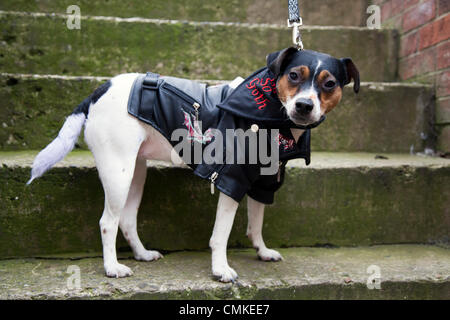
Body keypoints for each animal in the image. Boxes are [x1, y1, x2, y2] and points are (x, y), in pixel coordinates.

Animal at [27, 47, 358, 282]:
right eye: (293, 76)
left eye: (329, 84)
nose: (304, 105)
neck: (274, 118)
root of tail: (100, 90)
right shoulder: (230, 180)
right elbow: (221, 234)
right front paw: (221, 270)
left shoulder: (263, 184)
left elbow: (256, 223)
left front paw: (262, 251)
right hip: (117, 172)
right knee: (108, 222)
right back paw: (112, 268)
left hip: (135, 173)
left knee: (126, 220)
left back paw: (141, 254)